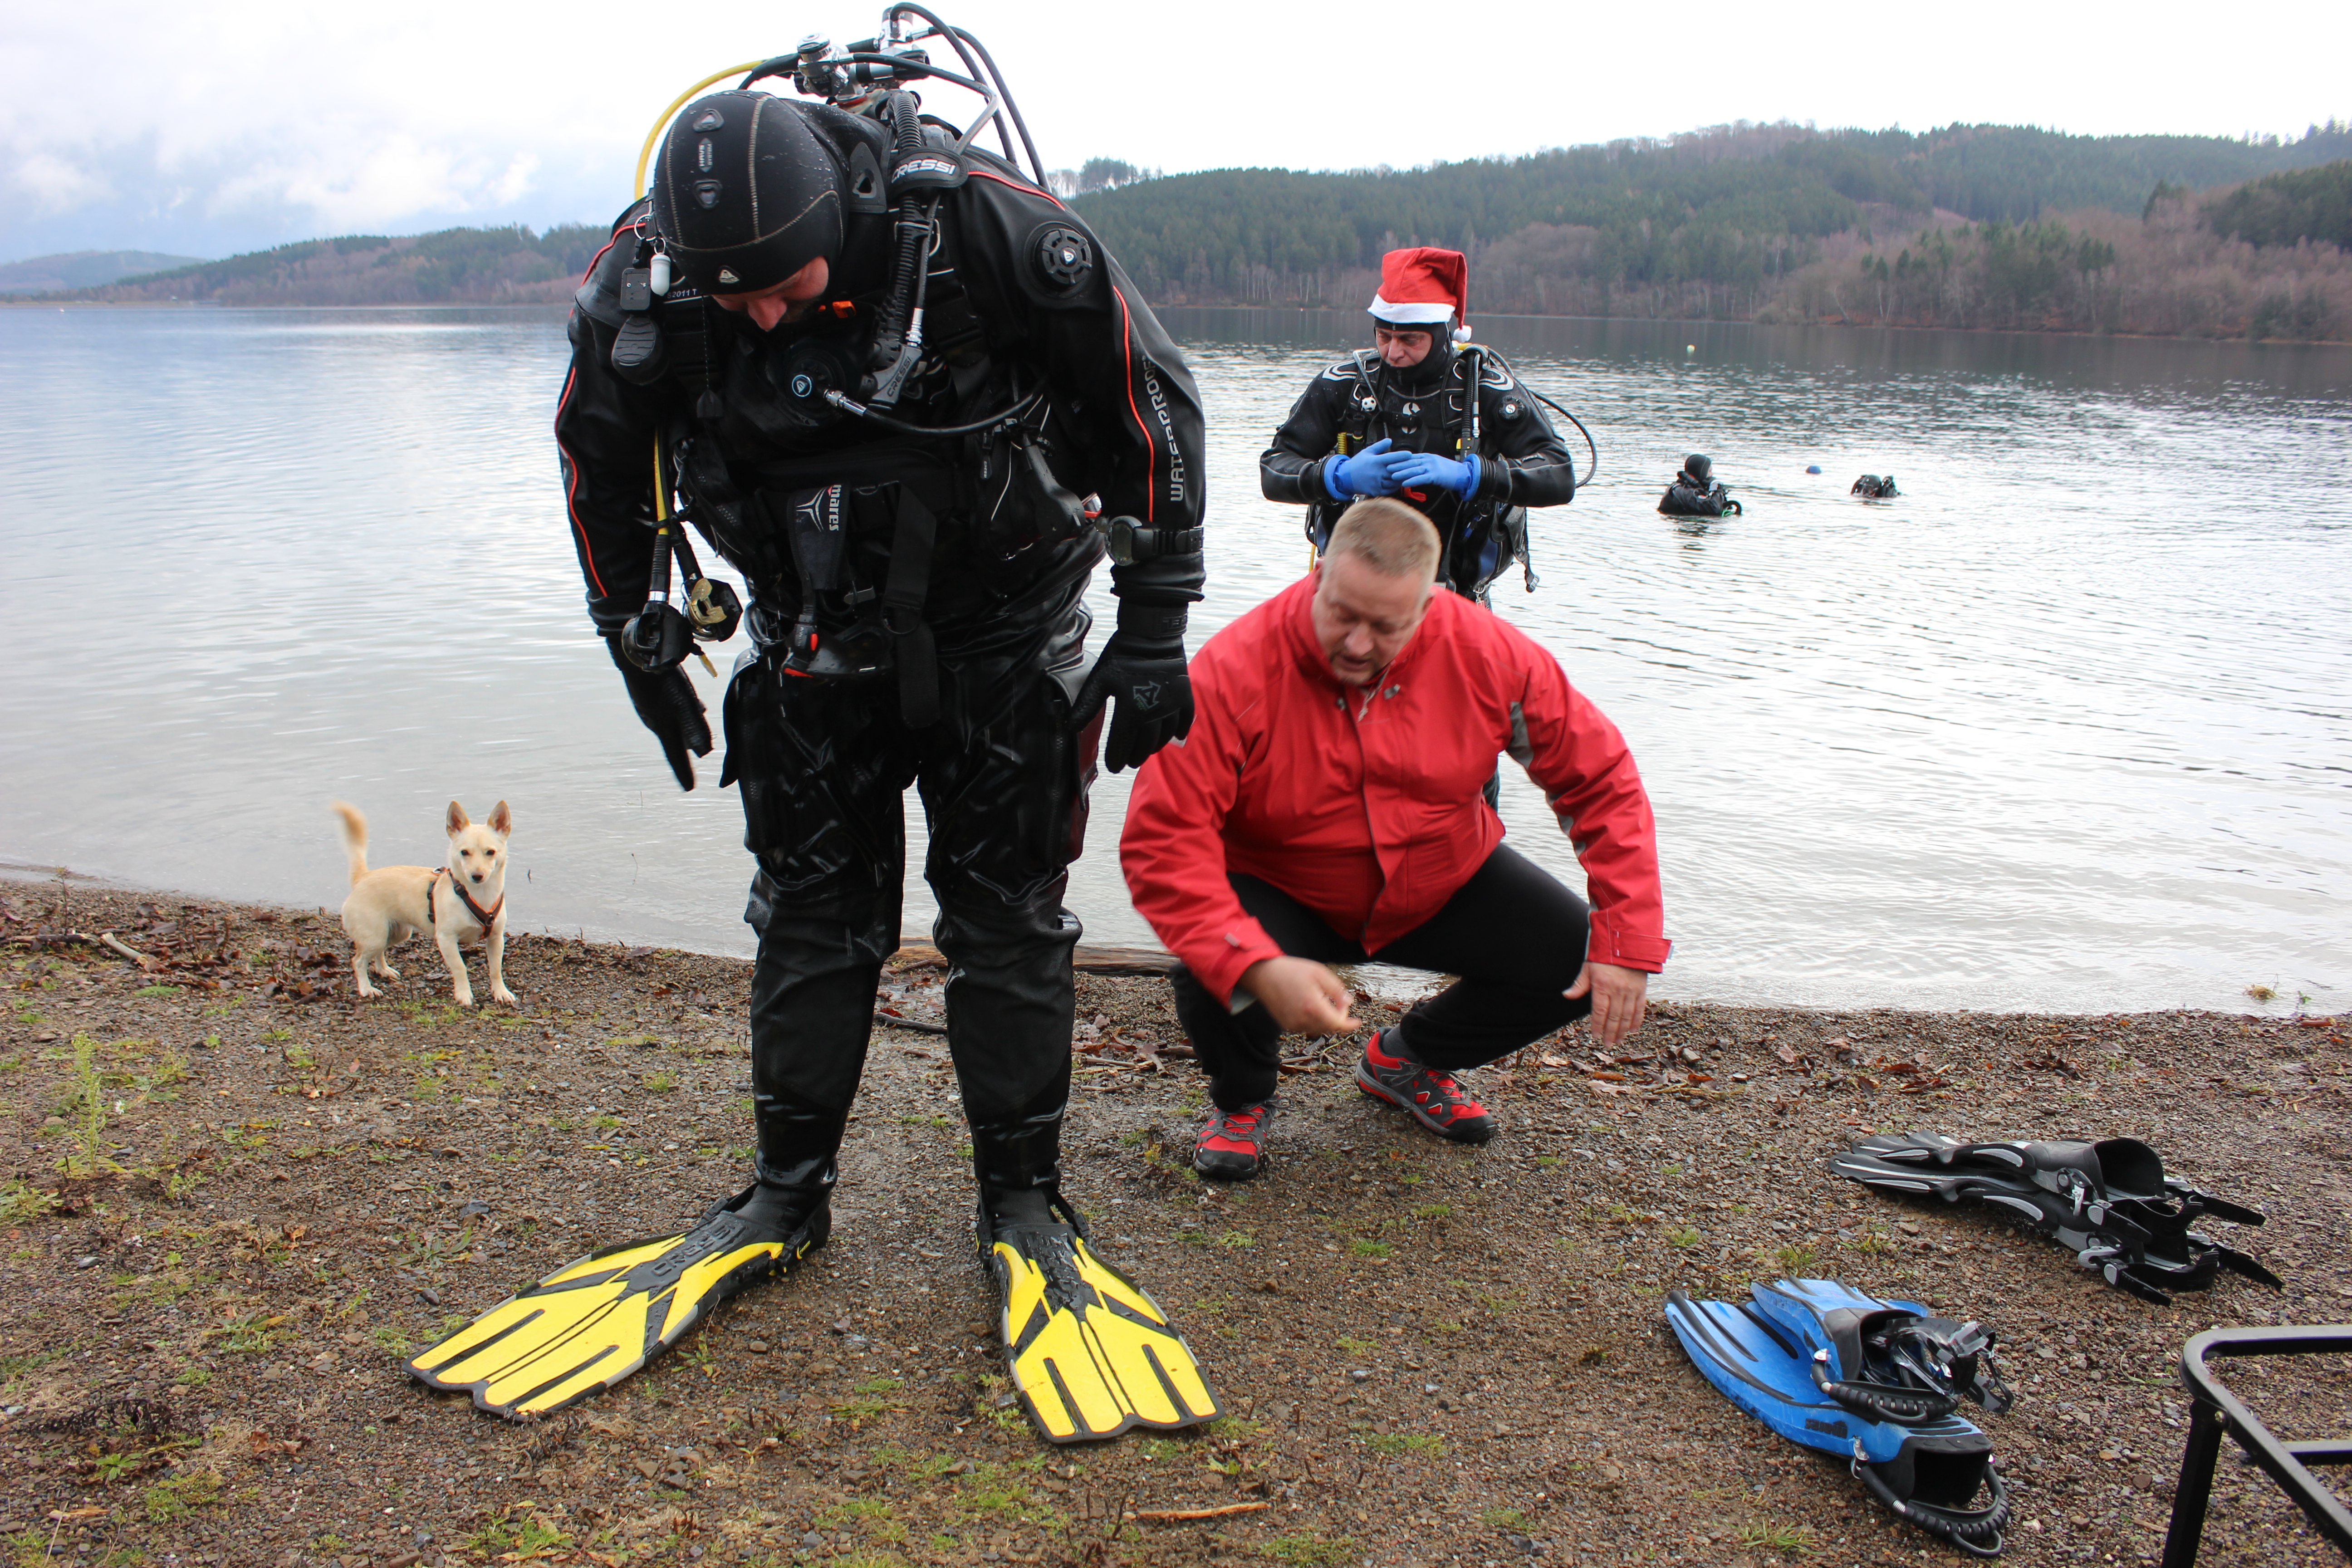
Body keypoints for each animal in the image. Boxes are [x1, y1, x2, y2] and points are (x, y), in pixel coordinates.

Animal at [327, 804, 515, 1011]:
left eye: (491, 852)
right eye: (464, 853)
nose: (477, 876)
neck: (478, 895)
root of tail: (363, 878)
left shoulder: (496, 939)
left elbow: (496, 968)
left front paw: (501, 992)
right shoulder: (447, 940)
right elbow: (460, 967)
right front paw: (464, 995)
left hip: (395, 934)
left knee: (378, 954)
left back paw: (384, 970)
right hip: (374, 937)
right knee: (358, 961)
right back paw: (367, 989)